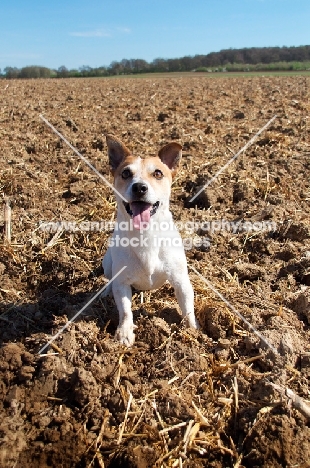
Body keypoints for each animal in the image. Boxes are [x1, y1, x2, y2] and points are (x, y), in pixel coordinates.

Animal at [101, 133, 199, 346]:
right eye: (125, 173)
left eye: (158, 173)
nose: (139, 187)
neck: (146, 235)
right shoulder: (122, 283)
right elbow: (125, 311)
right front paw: (124, 332)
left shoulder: (181, 280)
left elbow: (187, 307)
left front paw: (193, 330)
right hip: (107, 261)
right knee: (108, 278)